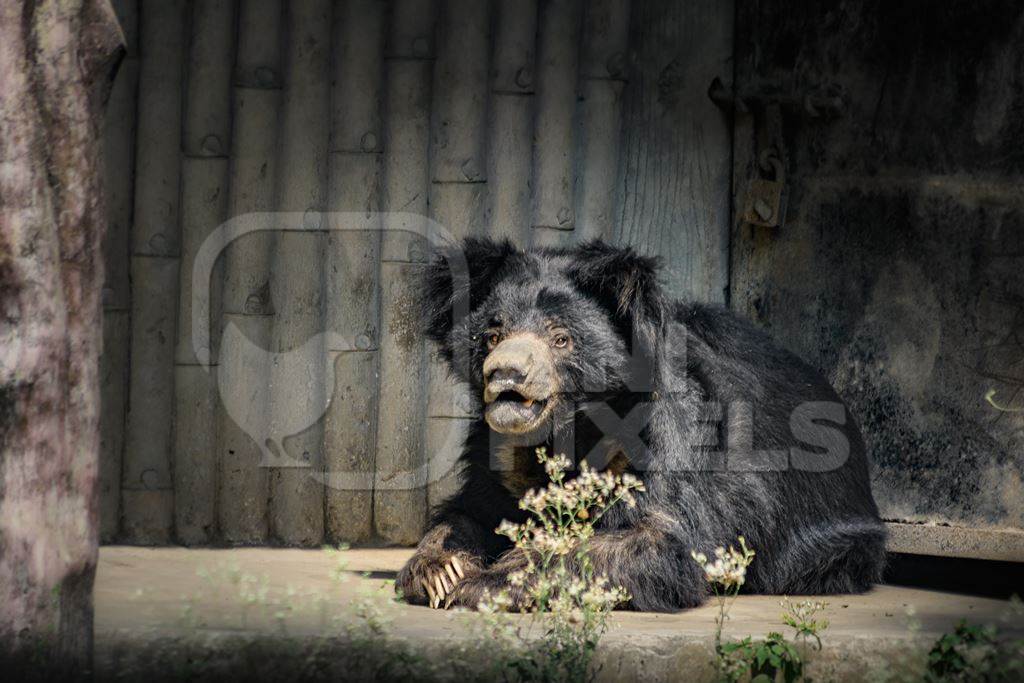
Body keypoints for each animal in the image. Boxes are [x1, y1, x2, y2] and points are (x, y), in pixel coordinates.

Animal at [395, 237, 884, 610]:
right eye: (492, 335)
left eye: (561, 338)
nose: (505, 375)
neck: (571, 429)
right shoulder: (497, 453)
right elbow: (473, 509)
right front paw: (439, 570)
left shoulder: (671, 443)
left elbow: (660, 544)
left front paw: (488, 583)